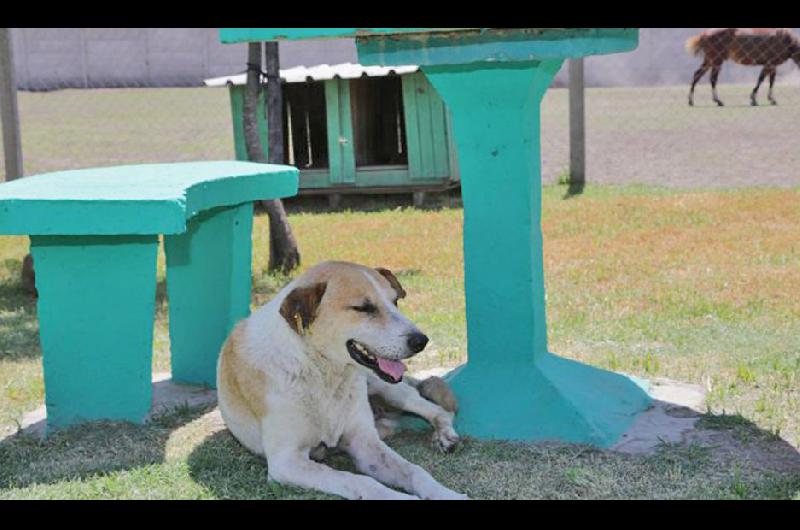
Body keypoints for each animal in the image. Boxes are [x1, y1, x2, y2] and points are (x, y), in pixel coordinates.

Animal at [219, 260, 468, 500]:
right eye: (363, 308)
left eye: (395, 302)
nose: (421, 341)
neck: (323, 371)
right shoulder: (286, 462)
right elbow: (360, 480)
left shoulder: (365, 443)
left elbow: (415, 471)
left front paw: (448, 494)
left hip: (387, 388)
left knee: (439, 411)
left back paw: (444, 436)